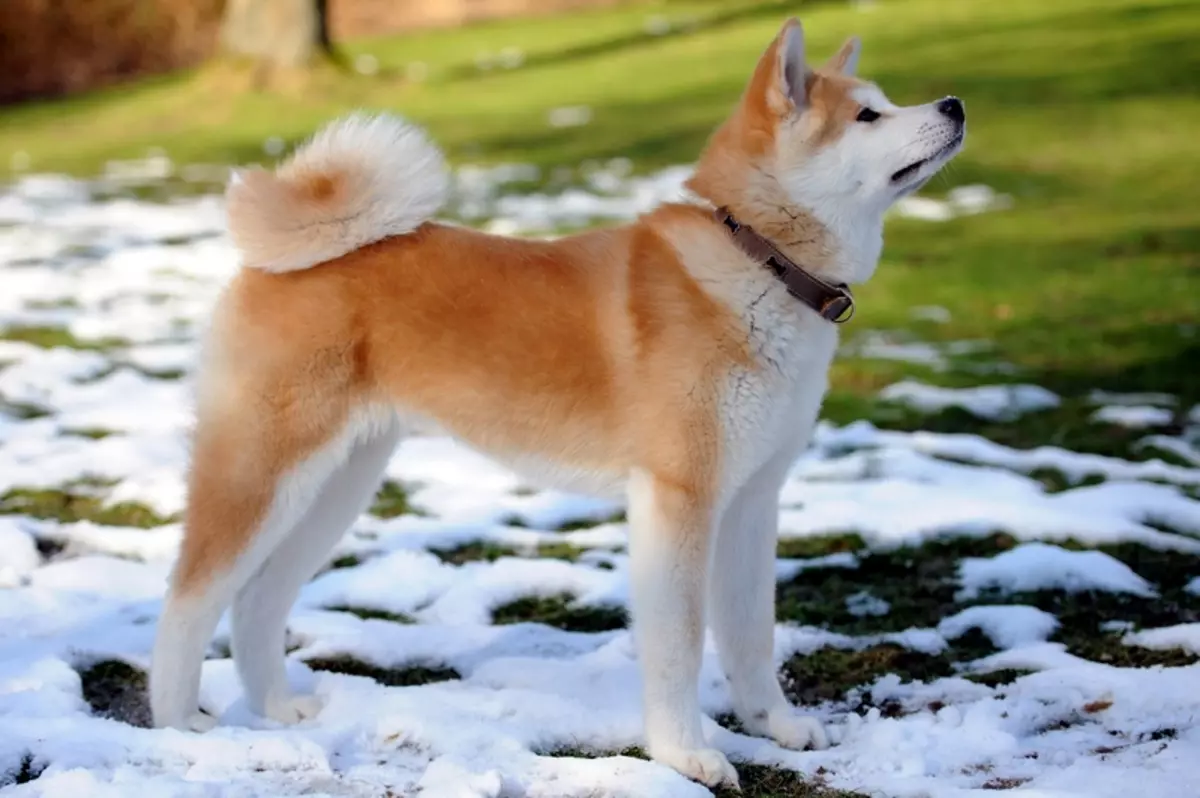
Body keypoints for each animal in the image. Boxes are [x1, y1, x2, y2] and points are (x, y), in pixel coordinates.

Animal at [152, 15, 964, 787]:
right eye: (866, 115)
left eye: (887, 102)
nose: (954, 105)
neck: (758, 262)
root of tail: (277, 259)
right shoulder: (679, 498)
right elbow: (680, 645)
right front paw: (686, 755)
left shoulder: (751, 501)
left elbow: (750, 633)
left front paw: (775, 725)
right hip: (263, 472)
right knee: (189, 598)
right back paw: (178, 724)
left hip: (338, 484)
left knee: (258, 600)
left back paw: (277, 708)